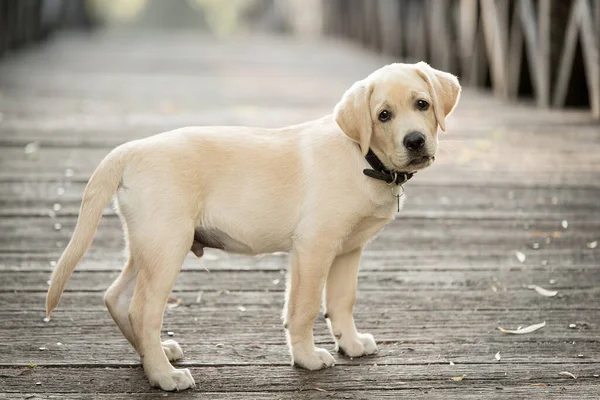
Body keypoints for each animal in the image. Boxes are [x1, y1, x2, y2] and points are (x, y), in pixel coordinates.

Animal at [45, 61, 460, 390]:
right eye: (383, 115)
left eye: (422, 104)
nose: (415, 141)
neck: (364, 157)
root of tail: (131, 149)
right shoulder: (314, 246)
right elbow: (305, 308)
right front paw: (308, 358)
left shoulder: (348, 249)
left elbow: (341, 301)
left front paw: (351, 344)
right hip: (167, 245)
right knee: (142, 310)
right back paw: (163, 375)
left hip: (146, 244)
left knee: (115, 296)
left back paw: (156, 355)